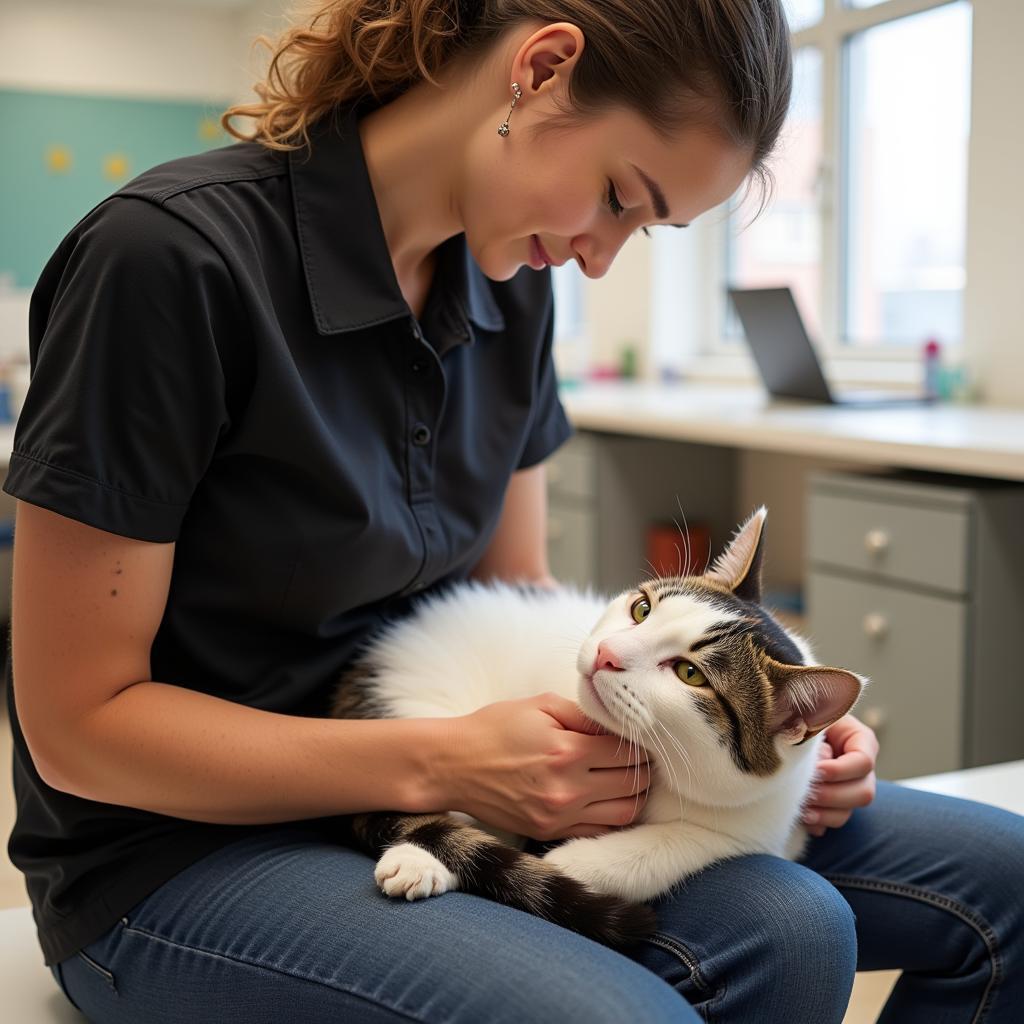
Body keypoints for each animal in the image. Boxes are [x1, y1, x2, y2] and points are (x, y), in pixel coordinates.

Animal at [331, 507, 868, 946]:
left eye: (690, 674)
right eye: (642, 609)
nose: (608, 653)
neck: (656, 766)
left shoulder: (762, 827)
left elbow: (669, 847)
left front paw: (563, 864)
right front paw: (428, 856)